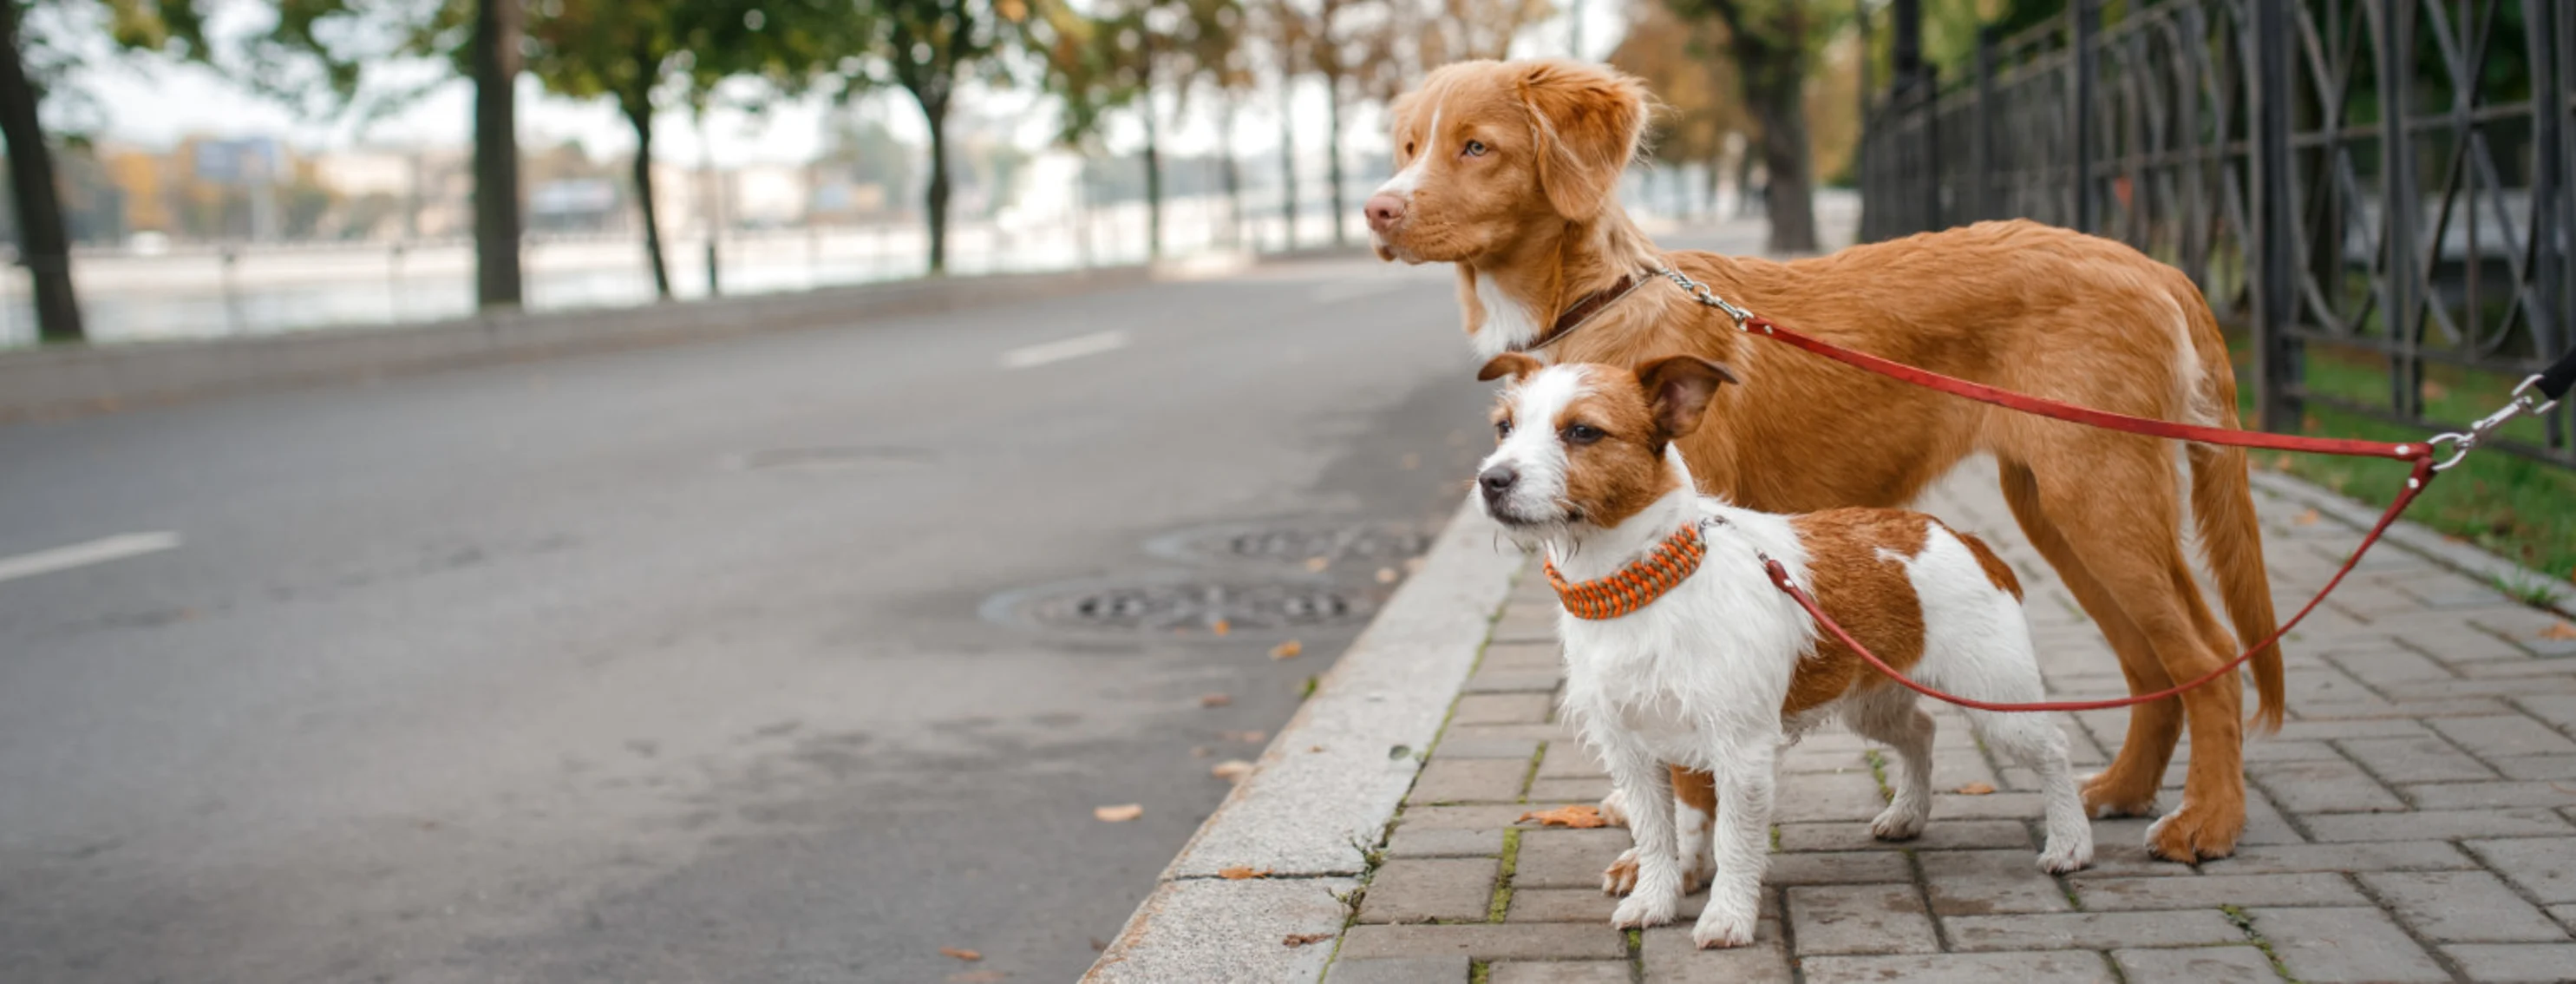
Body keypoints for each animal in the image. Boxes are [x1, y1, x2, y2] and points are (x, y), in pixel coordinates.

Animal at [1380, 61, 2287, 860]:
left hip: (2101, 499)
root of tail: (2152, 264)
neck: (1593, 302)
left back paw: (2208, 822)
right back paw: (2127, 789)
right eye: (1408, 145)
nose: (1376, 211)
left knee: (2209, 656)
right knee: (2151, 661)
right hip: (2058, 512)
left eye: (1476, 147)